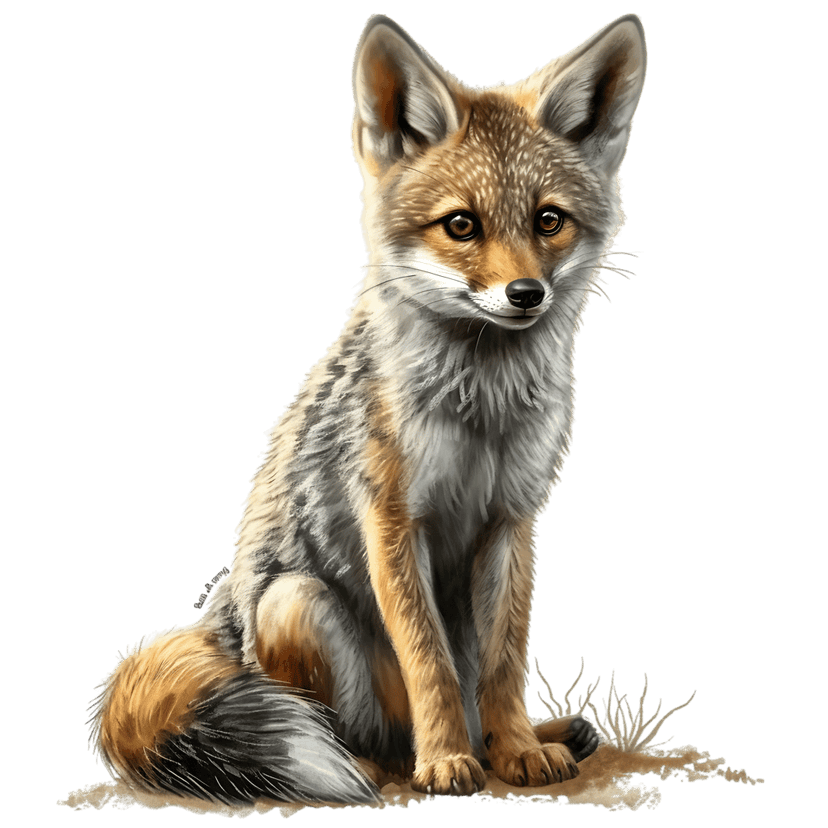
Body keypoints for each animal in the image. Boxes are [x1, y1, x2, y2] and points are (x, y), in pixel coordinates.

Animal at [87, 13, 647, 805]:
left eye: (548, 221)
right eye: (461, 226)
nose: (526, 294)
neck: (482, 411)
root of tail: (220, 625)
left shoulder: (513, 519)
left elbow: (505, 661)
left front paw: (515, 749)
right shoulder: (391, 519)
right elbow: (429, 660)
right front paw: (446, 761)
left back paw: (533, 734)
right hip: (295, 603)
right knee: (354, 735)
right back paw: (391, 764)